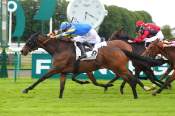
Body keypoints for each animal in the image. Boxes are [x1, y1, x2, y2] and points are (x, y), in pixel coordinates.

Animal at [20, 32, 164, 99]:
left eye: (30, 41)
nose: (22, 51)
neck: (60, 49)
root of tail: (122, 49)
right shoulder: (64, 71)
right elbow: (62, 86)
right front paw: (60, 98)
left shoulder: (55, 69)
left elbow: (41, 78)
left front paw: (26, 89)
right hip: (118, 68)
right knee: (132, 78)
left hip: (119, 67)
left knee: (132, 78)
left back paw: (139, 92)